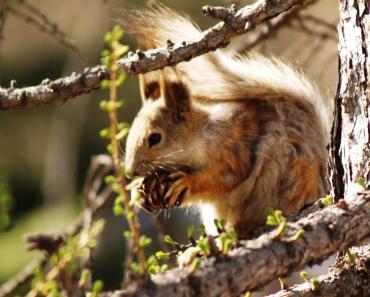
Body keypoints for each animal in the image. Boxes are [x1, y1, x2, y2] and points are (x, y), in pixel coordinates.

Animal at [123, 4, 330, 236]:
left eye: (155, 138)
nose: (130, 172)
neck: (201, 135)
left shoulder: (232, 147)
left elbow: (225, 177)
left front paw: (186, 182)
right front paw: (136, 192)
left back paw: (239, 228)